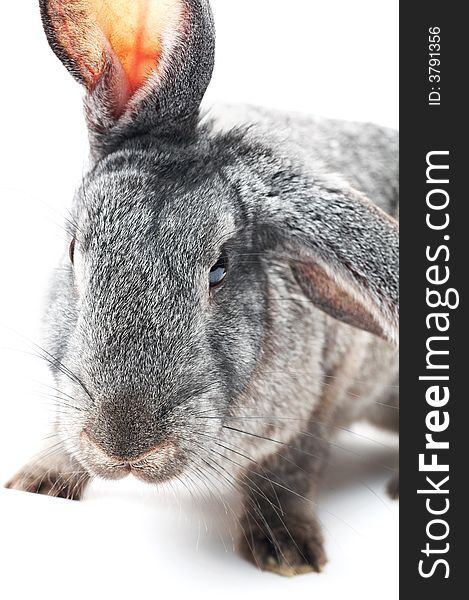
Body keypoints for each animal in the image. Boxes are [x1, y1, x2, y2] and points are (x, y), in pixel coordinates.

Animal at [5, 0, 396, 576]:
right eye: (74, 249)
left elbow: (289, 469)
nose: (124, 448)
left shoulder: (325, 389)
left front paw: (287, 551)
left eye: (219, 269)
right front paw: (37, 484)